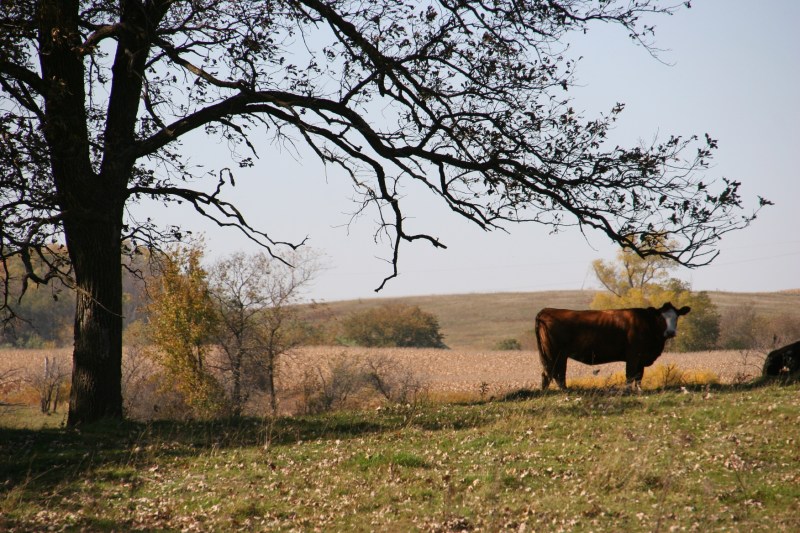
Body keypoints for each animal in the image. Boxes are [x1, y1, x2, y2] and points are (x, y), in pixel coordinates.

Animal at [535, 302, 691, 390]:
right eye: (661, 318)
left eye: (676, 317)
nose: (670, 332)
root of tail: (547, 310)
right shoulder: (633, 354)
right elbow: (630, 374)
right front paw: (628, 391)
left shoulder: (641, 358)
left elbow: (639, 376)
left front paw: (639, 390)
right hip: (556, 354)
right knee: (555, 374)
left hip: (552, 355)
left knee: (549, 374)